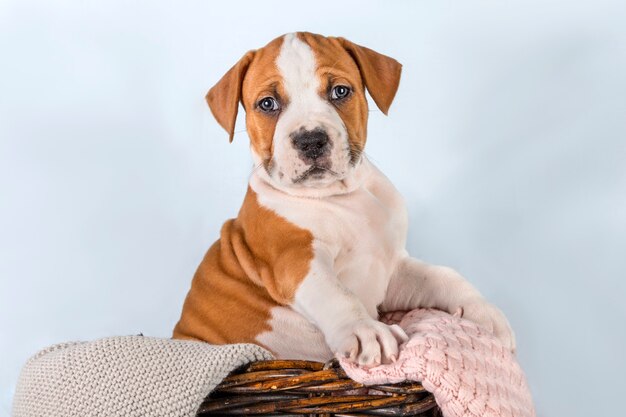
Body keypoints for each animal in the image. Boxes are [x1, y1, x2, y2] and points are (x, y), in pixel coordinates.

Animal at [172, 31, 512, 364]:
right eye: (267, 103)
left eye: (339, 91)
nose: (311, 140)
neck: (341, 195)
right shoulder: (295, 260)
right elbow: (335, 293)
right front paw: (364, 330)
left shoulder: (393, 269)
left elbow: (441, 276)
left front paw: (482, 311)